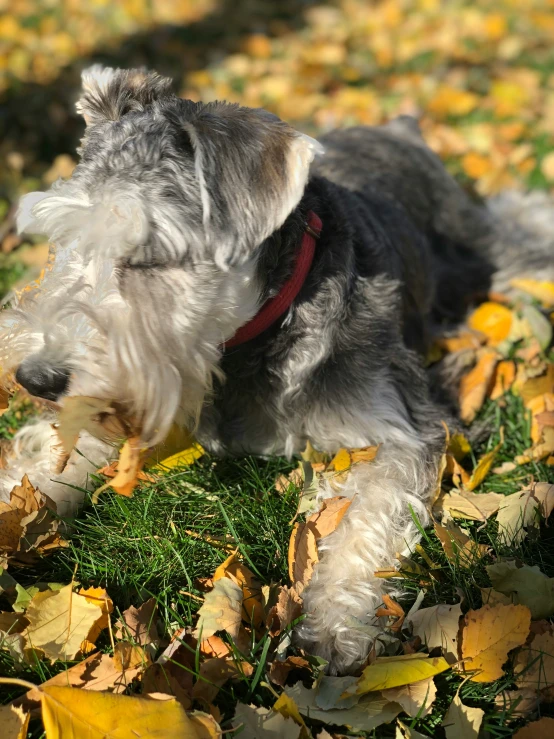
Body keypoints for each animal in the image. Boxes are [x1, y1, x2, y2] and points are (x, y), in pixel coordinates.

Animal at [1, 66, 552, 672]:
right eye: (60, 241)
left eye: (148, 257)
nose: (35, 378)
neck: (245, 342)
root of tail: (400, 129)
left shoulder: (398, 431)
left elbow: (363, 524)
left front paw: (336, 625)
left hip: (491, 255)